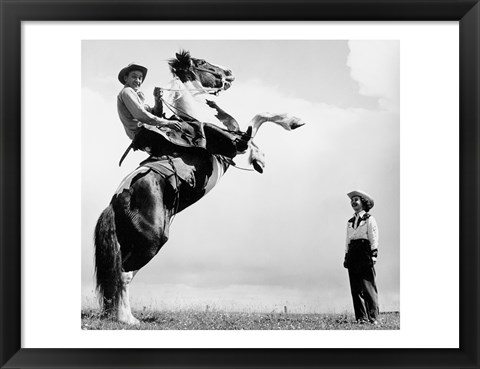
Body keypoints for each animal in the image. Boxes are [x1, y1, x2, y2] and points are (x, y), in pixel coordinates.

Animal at [94, 49, 304, 322]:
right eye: (202, 62)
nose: (229, 73)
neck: (191, 114)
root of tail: (116, 201)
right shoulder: (235, 143)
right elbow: (257, 120)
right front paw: (292, 122)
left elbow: (249, 126)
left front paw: (259, 159)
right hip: (151, 241)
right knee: (123, 275)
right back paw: (127, 319)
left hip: (132, 242)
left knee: (119, 274)